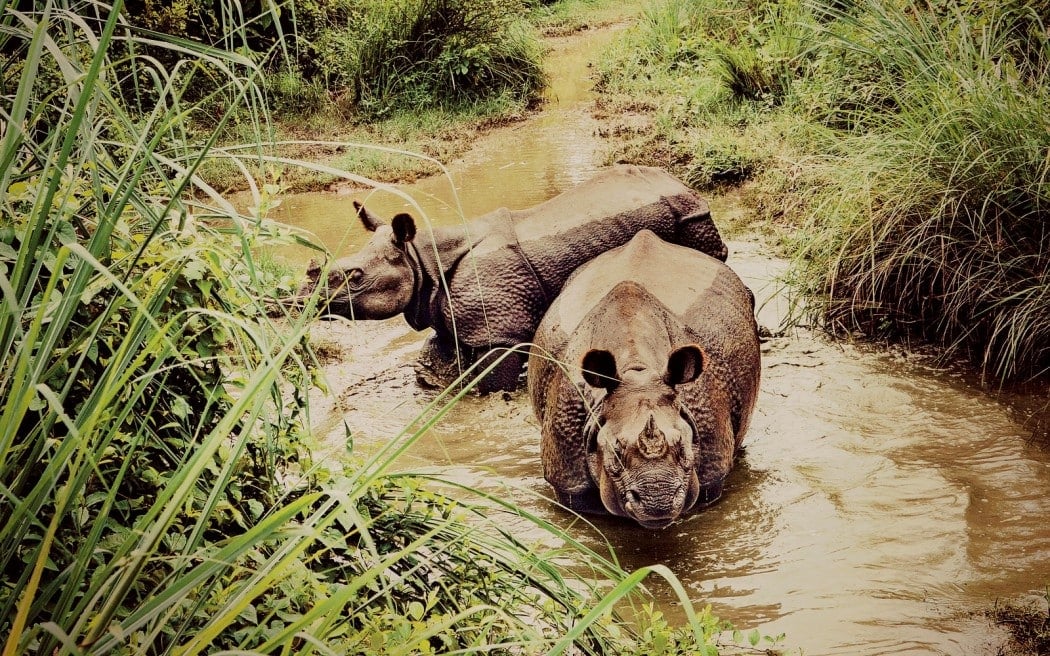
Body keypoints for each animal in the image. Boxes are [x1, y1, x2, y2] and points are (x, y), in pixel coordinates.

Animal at [296, 163, 722, 390]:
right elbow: (434, 360)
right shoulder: (449, 312)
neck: (422, 260)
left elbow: (490, 381)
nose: (300, 300)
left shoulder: (499, 332)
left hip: (690, 219)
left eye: (354, 276)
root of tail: (681, 183)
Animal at [529, 228, 760, 526]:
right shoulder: (568, 474)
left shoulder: (711, 461)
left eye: (684, 446)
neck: (638, 370)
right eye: (615, 453)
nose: (657, 501)